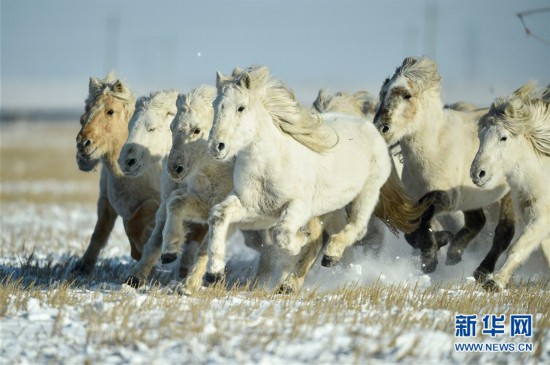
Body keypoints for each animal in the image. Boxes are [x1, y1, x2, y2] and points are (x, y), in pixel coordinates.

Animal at [73, 72, 160, 272]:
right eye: (87, 108)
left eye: (110, 111)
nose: (83, 144)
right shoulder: (107, 201)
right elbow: (101, 231)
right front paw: (83, 266)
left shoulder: (155, 202)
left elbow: (134, 223)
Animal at [119, 89, 208, 286]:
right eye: (129, 126)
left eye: (151, 128)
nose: (126, 162)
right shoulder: (168, 198)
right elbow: (157, 237)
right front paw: (135, 276)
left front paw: (190, 281)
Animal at [206, 65, 432, 282]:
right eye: (215, 105)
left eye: (241, 107)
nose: (217, 146)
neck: (271, 164)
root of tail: (371, 128)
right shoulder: (255, 208)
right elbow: (219, 215)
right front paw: (213, 274)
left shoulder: (298, 205)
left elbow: (281, 234)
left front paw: (301, 240)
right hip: (333, 206)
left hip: (367, 193)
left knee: (358, 228)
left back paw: (331, 256)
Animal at [470, 81, 550, 292]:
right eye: (480, 136)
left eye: (503, 138)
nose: (477, 173)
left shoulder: (541, 219)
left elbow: (517, 248)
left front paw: (495, 282)